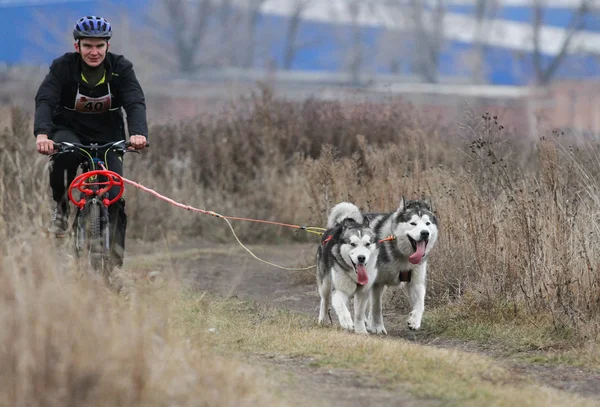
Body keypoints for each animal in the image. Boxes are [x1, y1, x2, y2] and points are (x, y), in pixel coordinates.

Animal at [316, 204, 378, 334]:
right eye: (352, 244)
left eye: (367, 244)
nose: (361, 258)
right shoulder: (339, 290)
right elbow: (340, 306)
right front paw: (346, 321)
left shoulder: (363, 292)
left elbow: (359, 313)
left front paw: (361, 330)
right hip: (325, 283)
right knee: (325, 300)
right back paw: (323, 319)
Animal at [364, 198, 438, 334]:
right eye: (413, 223)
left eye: (427, 223)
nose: (425, 233)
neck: (404, 256)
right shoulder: (377, 283)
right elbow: (377, 306)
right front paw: (377, 327)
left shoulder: (416, 282)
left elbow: (421, 303)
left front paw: (414, 320)